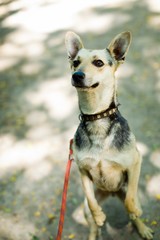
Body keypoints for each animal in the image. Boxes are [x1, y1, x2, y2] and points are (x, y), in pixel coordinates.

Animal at [65, 31, 154, 240]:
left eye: (98, 63)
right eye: (75, 62)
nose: (76, 75)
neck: (96, 117)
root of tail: (112, 193)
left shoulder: (135, 161)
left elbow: (130, 200)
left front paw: (135, 210)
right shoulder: (82, 169)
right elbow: (91, 201)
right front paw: (99, 216)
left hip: (126, 188)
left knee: (132, 210)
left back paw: (142, 228)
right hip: (86, 207)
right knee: (92, 222)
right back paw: (94, 228)